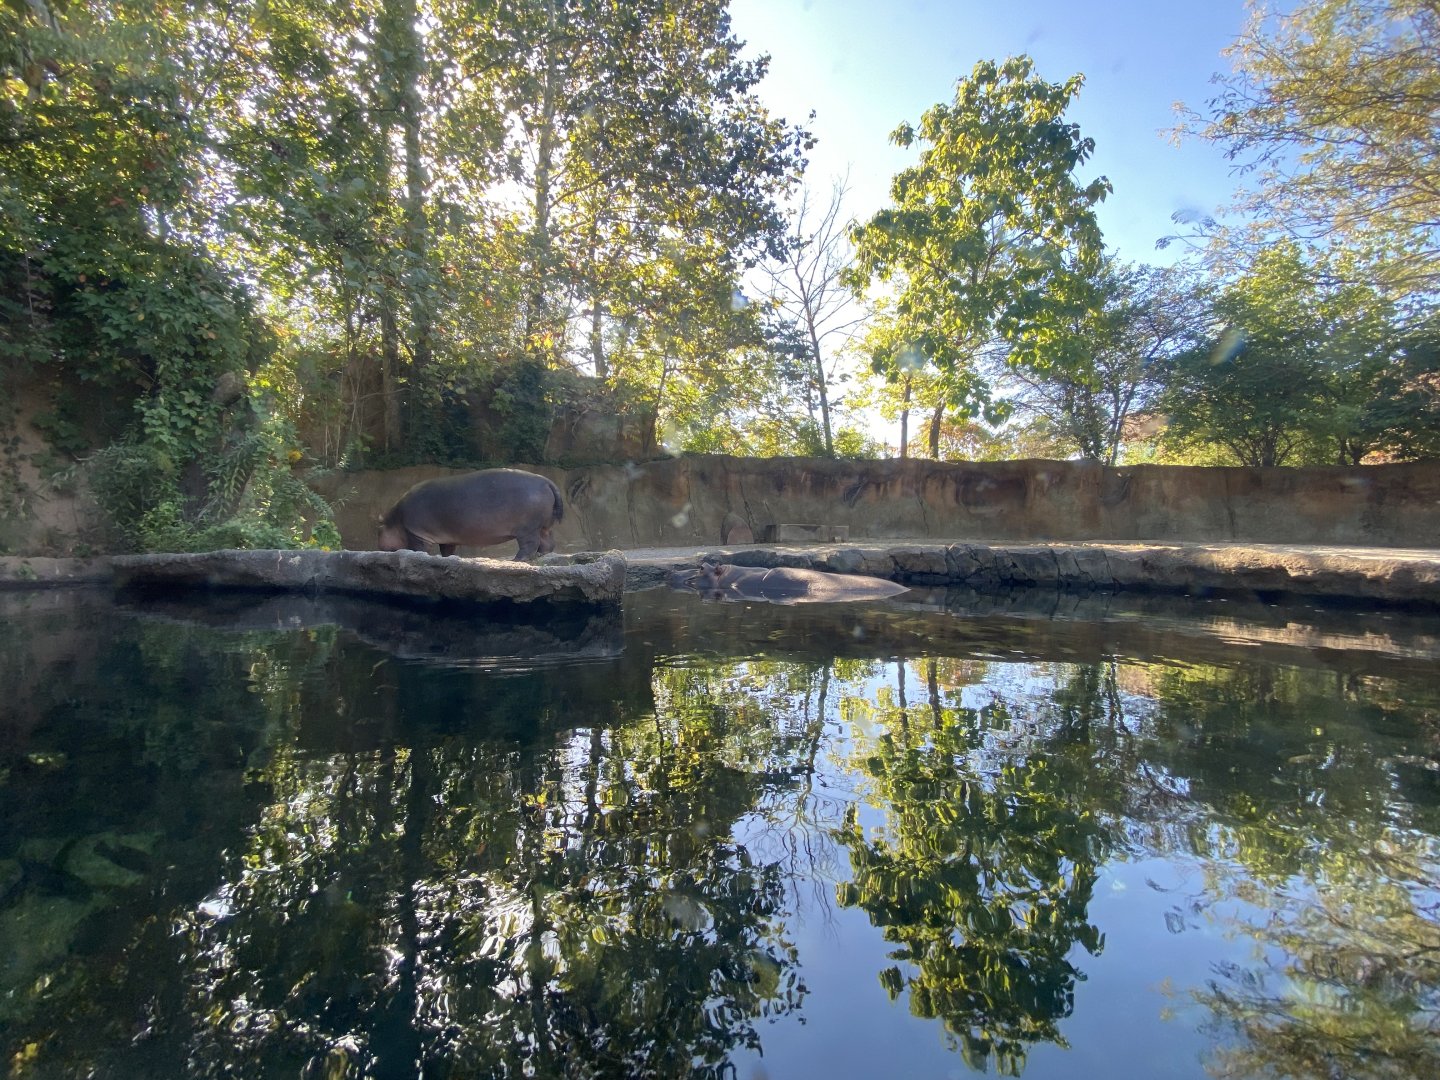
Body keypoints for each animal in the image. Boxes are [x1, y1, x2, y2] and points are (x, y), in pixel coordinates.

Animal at [377, 469, 564, 560]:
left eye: (378, 530)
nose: (379, 547)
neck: (395, 519)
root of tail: (546, 481)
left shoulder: (416, 532)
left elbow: (418, 548)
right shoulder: (447, 537)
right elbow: (447, 550)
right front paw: (449, 558)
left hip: (528, 528)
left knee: (529, 545)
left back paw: (517, 560)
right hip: (543, 527)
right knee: (547, 543)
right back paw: (541, 555)